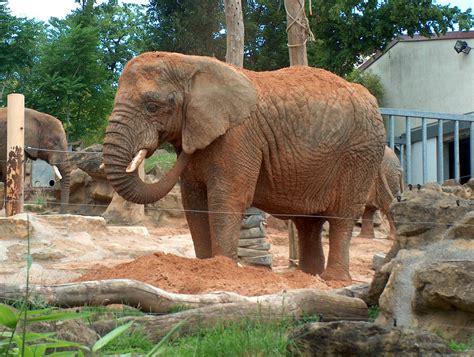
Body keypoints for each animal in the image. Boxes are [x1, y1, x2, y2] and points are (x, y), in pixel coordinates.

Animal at [103, 52, 386, 280]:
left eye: (153, 106)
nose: (183, 146)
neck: (190, 64)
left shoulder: (238, 137)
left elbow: (226, 200)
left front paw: (221, 270)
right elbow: (194, 203)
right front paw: (204, 268)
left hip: (362, 153)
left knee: (342, 216)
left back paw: (332, 280)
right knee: (308, 223)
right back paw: (306, 277)